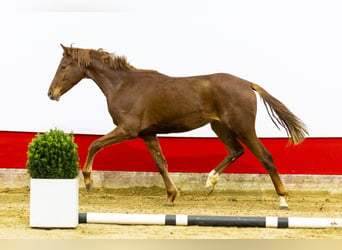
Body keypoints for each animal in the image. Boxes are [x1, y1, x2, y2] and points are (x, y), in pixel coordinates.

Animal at [48, 44, 308, 207]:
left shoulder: (127, 130)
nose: (51, 93)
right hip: (220, 127)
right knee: (236, 151)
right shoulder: (148, 133)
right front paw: (172, 196)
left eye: (63, 67)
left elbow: (94, 144)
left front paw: (88, 181)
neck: (123, 85)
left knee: (265, 156)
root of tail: (247, 83)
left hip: (242, 127)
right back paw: (209, 182)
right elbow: (161, 164)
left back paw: (283, 199)